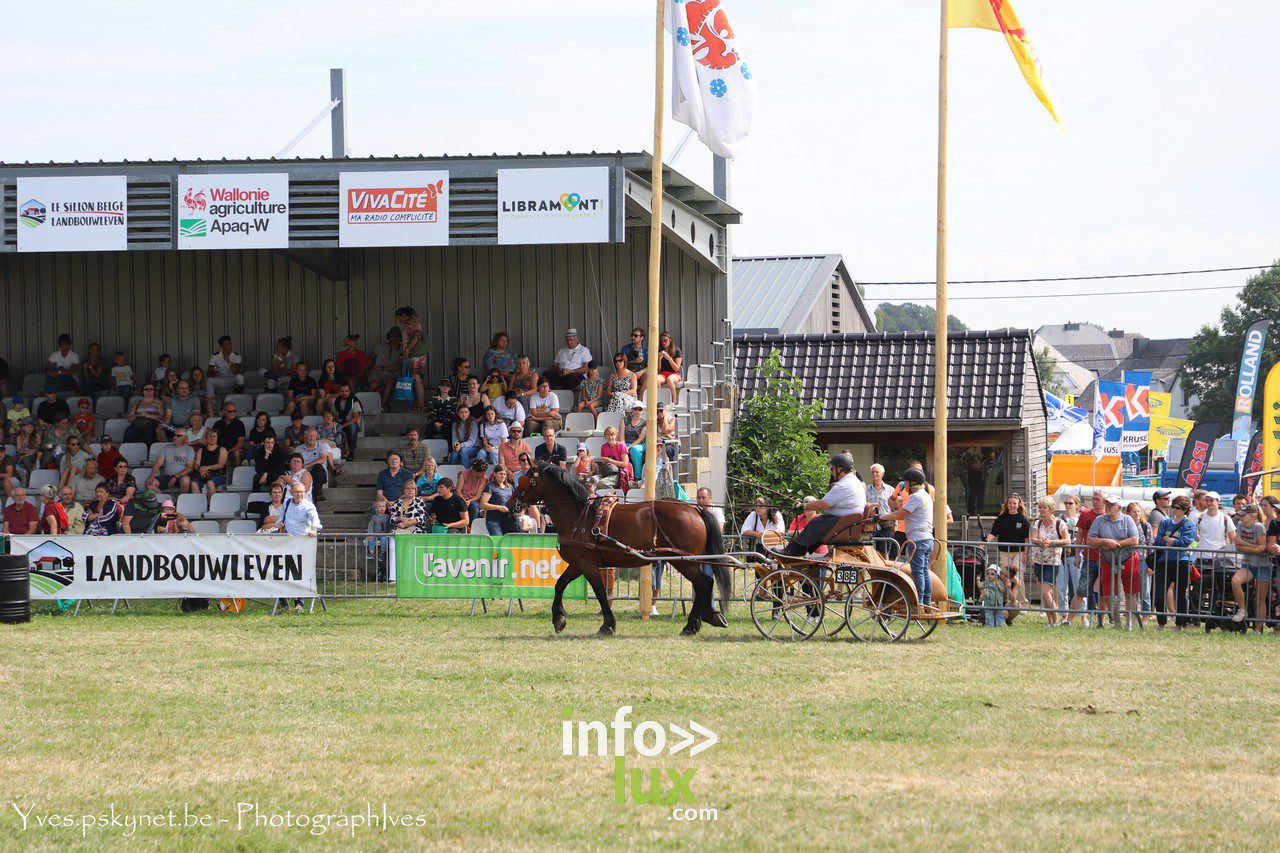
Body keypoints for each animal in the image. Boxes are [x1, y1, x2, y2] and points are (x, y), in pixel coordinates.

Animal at [512, 461, 732, 635]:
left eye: (524, 479)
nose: (511, 501)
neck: (579, 516)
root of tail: (695, 509)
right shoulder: (578, 563)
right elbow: (560, 585)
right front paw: (559, 618)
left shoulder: (586, 563)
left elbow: (600, 592)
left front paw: (607, 625)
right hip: (688, 560)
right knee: (703, 585)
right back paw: (703, 619)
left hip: (682, 561)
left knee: (703, 583)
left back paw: (695, 623)